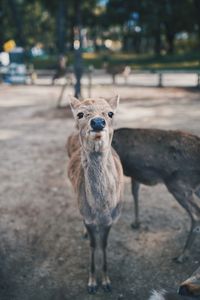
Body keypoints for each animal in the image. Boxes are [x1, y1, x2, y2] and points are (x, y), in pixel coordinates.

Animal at [67, 95, 123, 292]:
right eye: (80, 114)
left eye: (110, 113)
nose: (98, 122)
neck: (100, 209)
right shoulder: (88, 217)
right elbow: (92, 245)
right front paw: (92, 282)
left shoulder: (111, 219)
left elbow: (104, 245)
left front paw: (106, 282)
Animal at [111, 127, 200, 262]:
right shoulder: (135, 174)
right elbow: (135, 191)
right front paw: (136, 223)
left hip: (178, 184)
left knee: (196, 215)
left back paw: (182, 255)